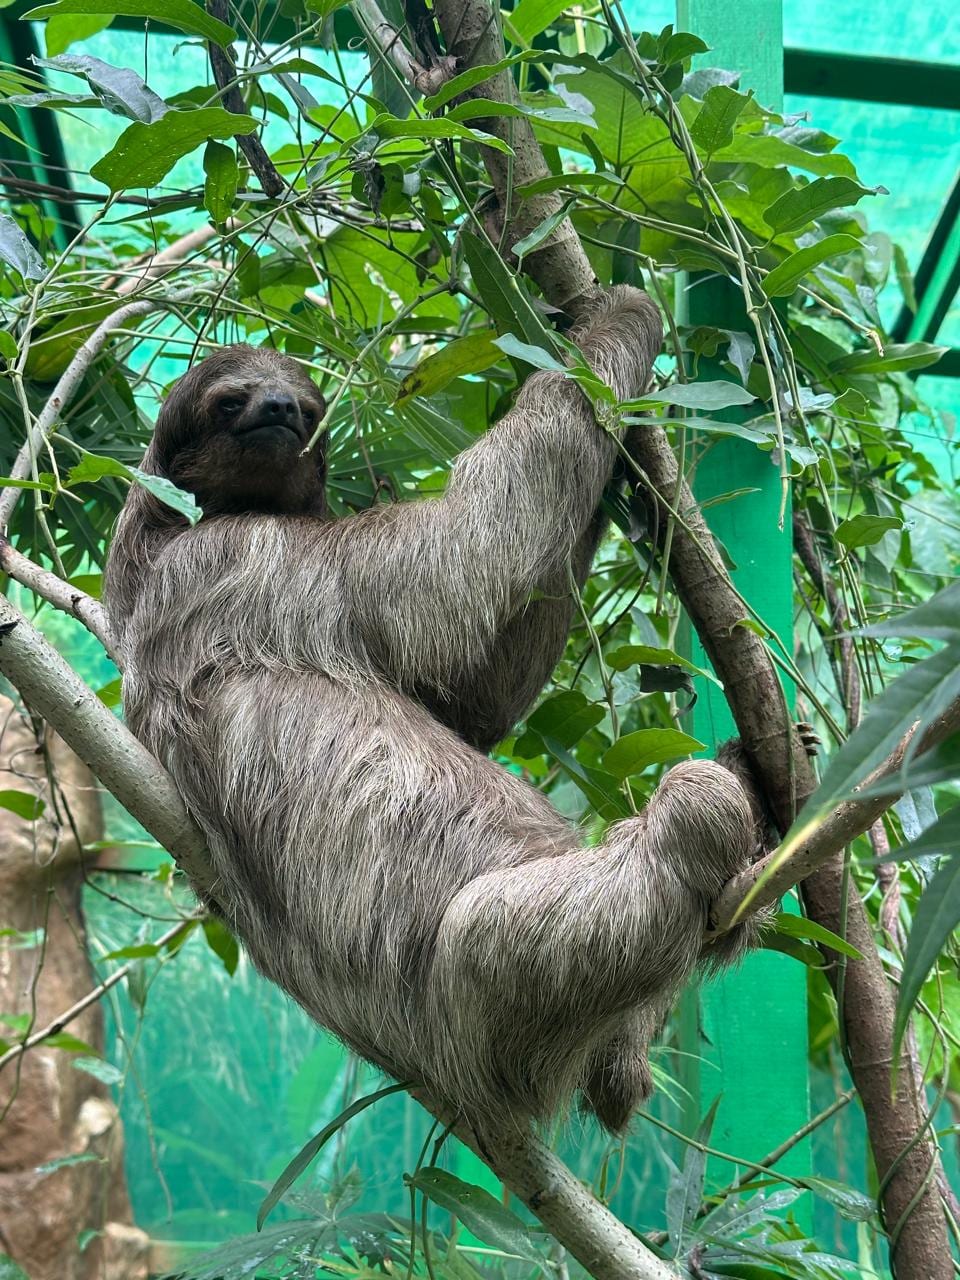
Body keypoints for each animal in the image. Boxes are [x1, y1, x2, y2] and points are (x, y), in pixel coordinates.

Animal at [104, 286, 761, 1136]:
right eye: (230, 402)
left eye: (306, 406)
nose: (278, 407)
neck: (178, 525)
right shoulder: (247, 560)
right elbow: (461, 566)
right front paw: (613, 318)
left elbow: (471, 698)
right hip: (479, 1001)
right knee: (513, 923)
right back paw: (706, 817)